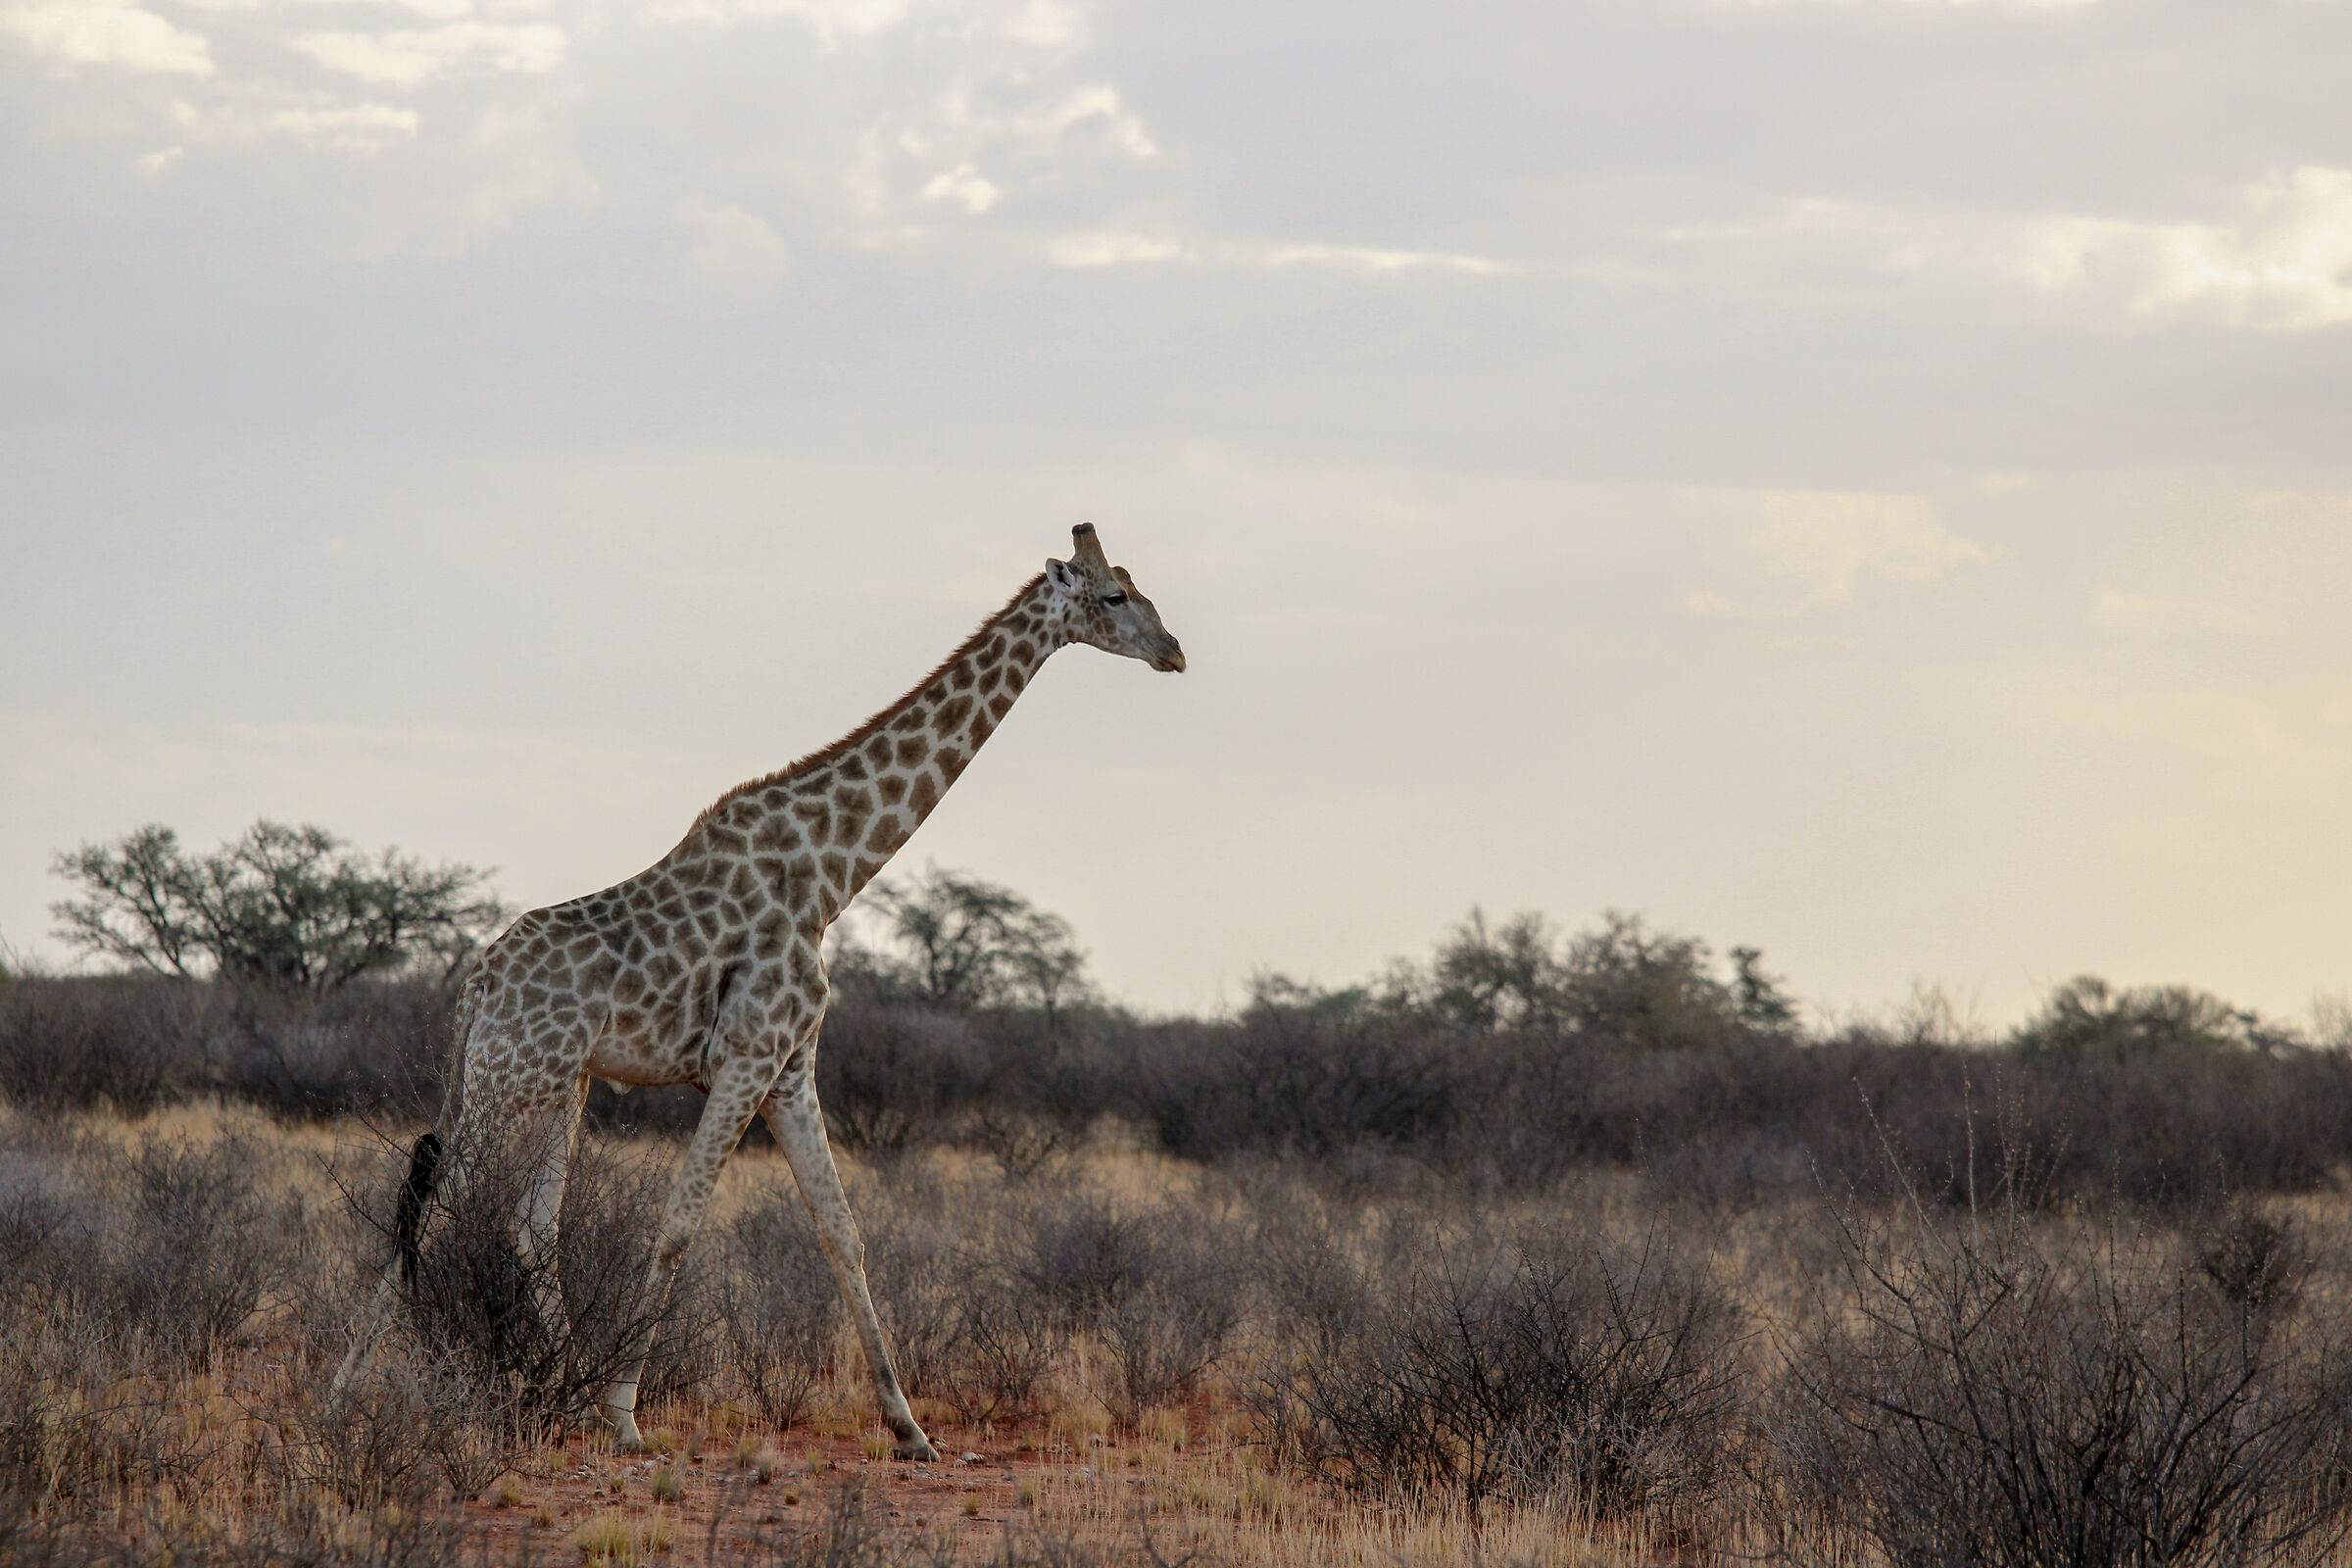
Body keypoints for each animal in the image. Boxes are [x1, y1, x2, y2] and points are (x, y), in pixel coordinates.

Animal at [330, 523, 1184, 1459]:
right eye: (1113, 595)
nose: (1175, 652)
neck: (831, 873)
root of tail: (476, 986)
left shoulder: (791, 1068)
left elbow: (843, 1232)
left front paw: (910, 1430)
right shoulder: (744, 1059)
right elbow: (676, 1225)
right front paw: (625, 1416)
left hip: (560, 1082)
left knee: (524, 1226)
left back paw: (554, 1389)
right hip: (508, 1077)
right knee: (435, 1205)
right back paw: (341, 1397)